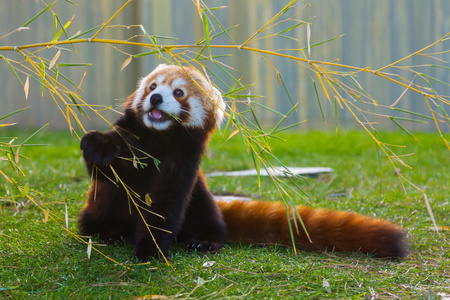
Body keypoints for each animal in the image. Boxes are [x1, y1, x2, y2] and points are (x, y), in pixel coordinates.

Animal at [77, 64, 408, 262]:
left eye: (179, 92)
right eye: (152, 86)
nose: (156, 99)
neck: (159, 140)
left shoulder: (182, 166)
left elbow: (165, 208)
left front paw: (151, 250)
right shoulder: (132, 141)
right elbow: (105, 169)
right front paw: (96, 145)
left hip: (201, 196)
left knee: (209, 219)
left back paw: (204, 240)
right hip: (96, 211)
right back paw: (112, 232)